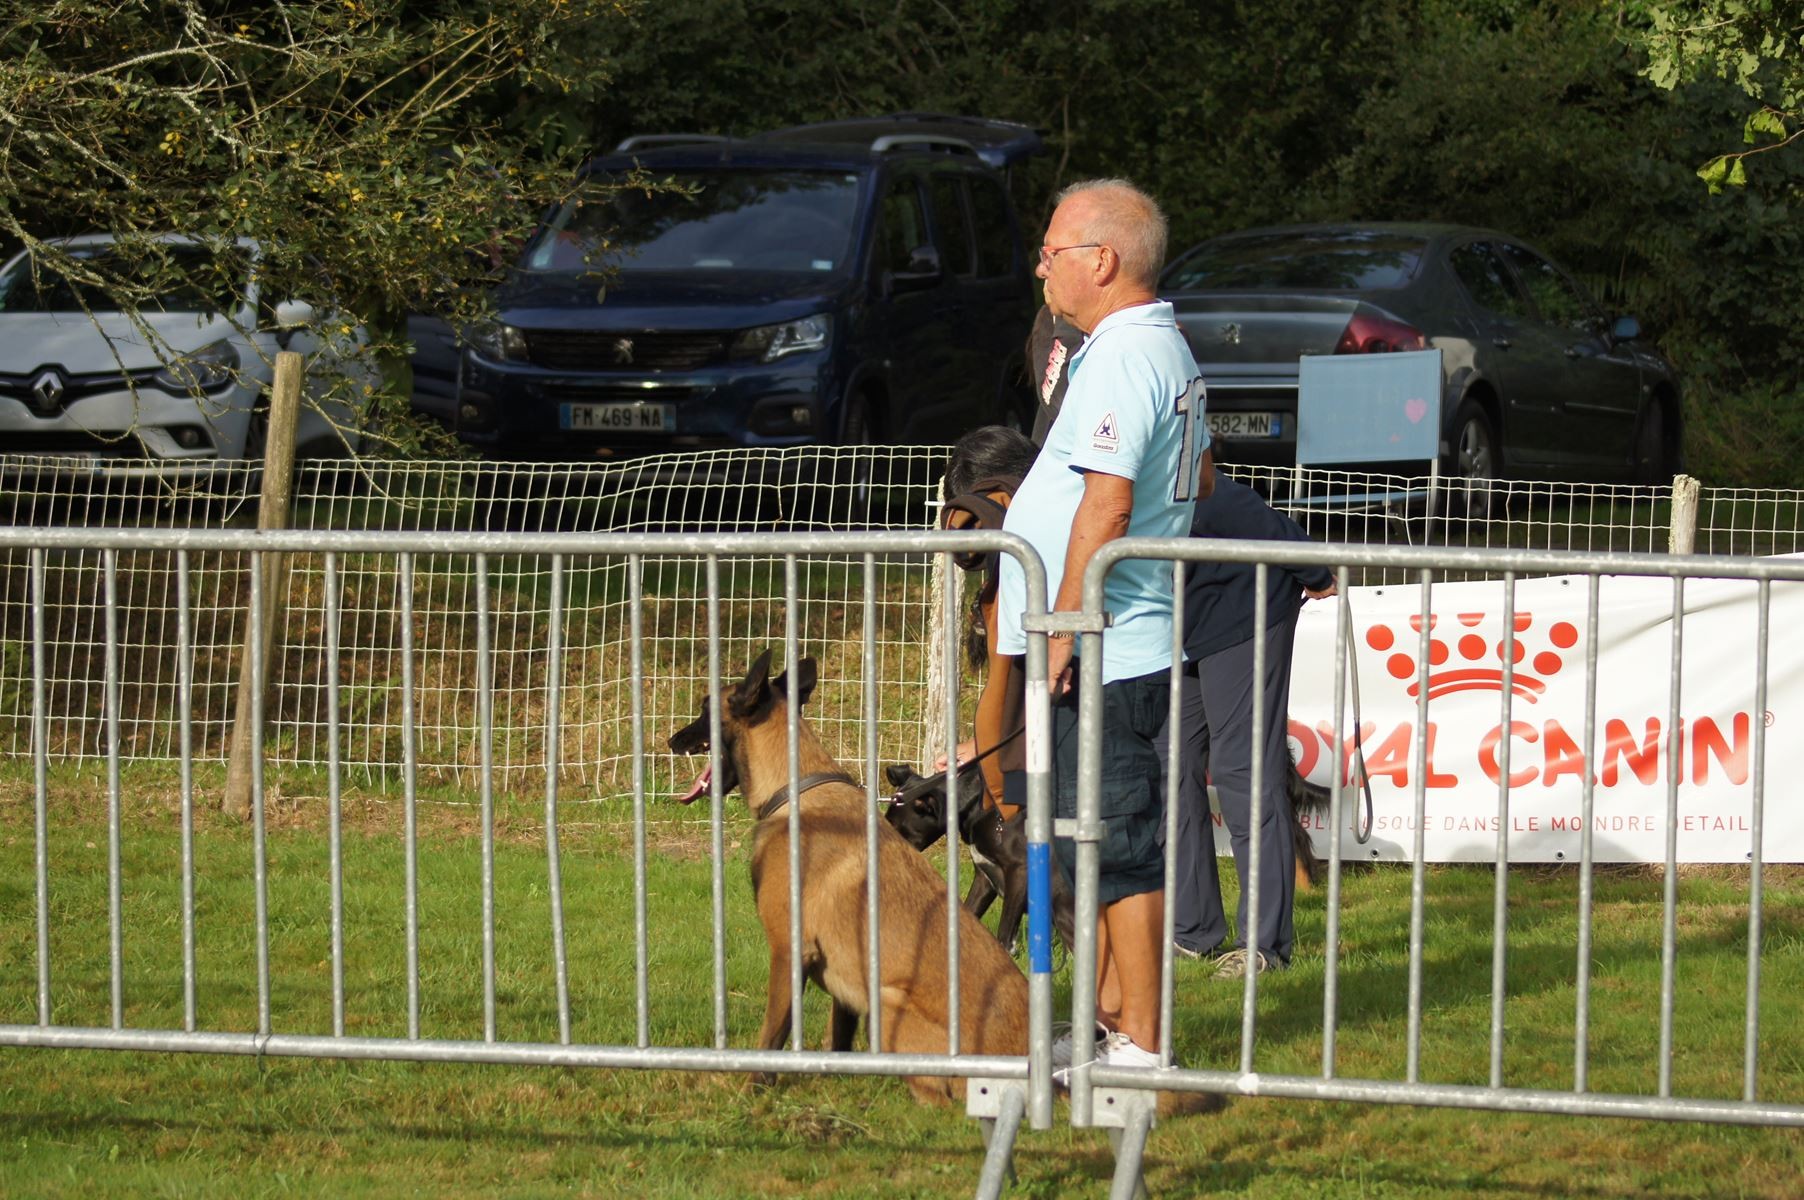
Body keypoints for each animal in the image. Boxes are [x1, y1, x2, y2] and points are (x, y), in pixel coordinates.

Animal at [667, 649, 1031, 1097]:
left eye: (705, 709)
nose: (671, 741)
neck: (797, 788)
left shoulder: (788, 950)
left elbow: (773, 1031)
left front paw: (754, 1088)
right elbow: (838, 1036)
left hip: (887, 1001)